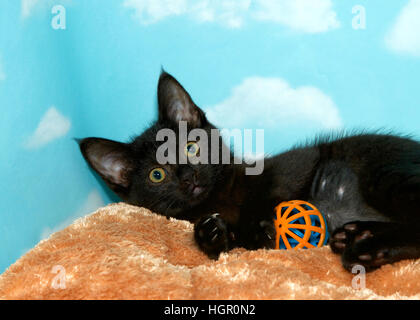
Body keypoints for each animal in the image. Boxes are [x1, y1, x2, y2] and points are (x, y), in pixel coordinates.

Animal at [78, 71, 420, 272]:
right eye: (157, 175)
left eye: (190, 146)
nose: (188, 178)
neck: (220, 198)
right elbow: (234, 241)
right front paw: (211, 234)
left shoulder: (285, 174)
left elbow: (275, 200)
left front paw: (264, 226)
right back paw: (358, 237)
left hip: (385, 176)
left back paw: (365, 247)